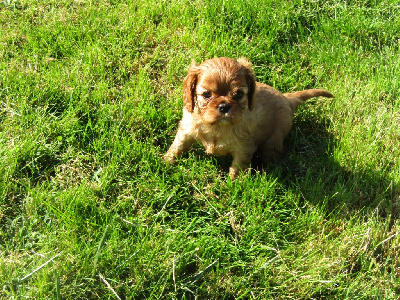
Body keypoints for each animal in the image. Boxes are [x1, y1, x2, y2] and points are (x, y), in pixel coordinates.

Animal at [163, 57, 334, 177]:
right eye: (206, 95)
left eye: (238, 94)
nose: (224, 106)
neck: (217, 127)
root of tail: (287, 99)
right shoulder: (187, 129)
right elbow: (178, 145)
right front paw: (166, 160)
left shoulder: (245, 146)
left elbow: (239, 164)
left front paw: (235, 182)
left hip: (273, 141)